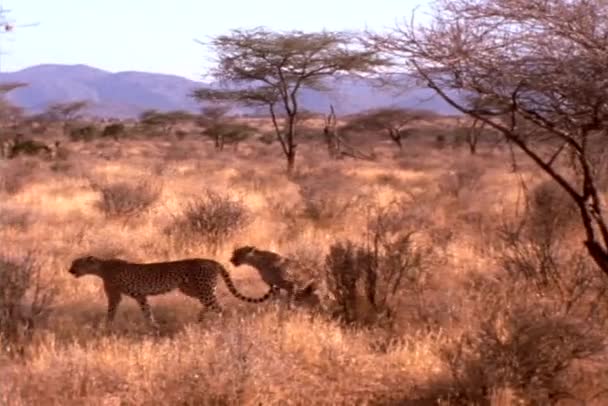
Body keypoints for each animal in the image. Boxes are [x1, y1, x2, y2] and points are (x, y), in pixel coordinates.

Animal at [67, 255, 274, 328]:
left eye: (76, 263)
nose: (69, 270)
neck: (100, 267)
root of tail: (211, 260)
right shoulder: (140, 295)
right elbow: (146, 311)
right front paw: (153, 326)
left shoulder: (117, 296)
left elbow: (111, 312)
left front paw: (106, 327)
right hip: (191, 289)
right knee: (211, 304)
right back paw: (200, 320)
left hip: (202, 289)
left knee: (221, 308)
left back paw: (224, 324)